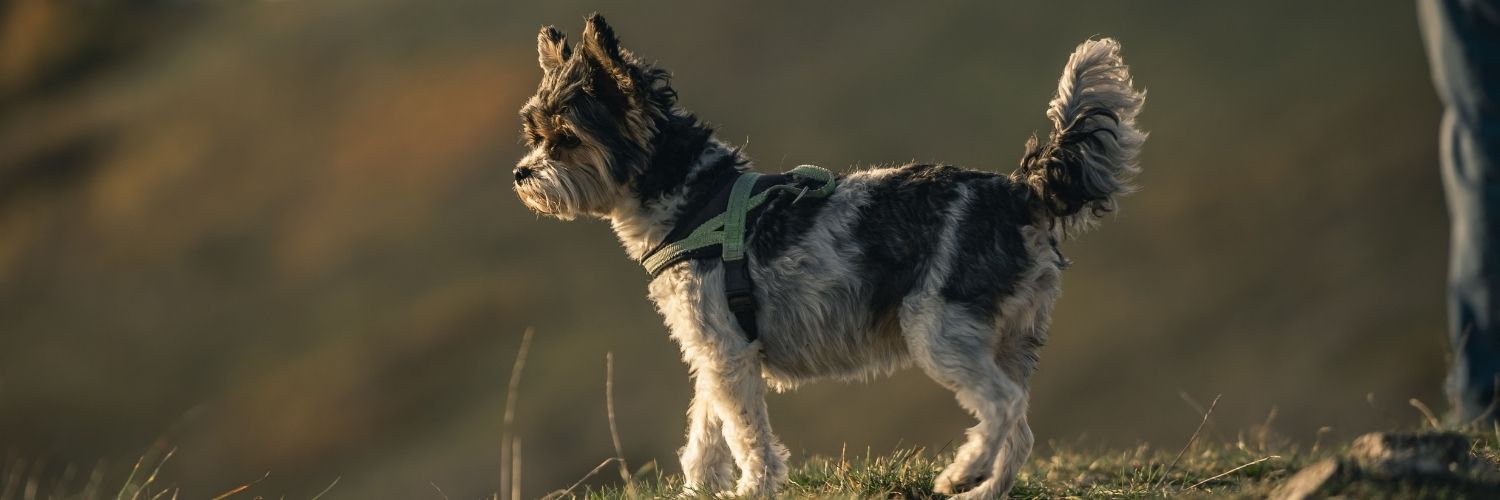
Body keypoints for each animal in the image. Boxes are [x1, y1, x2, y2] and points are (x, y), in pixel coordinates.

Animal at [510, 13, 1140, 495]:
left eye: (566, 139)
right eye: (534, 134)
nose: (520, 174)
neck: (690, 196)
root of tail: (1019, 192)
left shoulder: (728, 351)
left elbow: (745, 434)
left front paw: (754, 488)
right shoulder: (716, 350)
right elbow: (707, 429)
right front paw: (699, 488)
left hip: (940, 330)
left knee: (1002, 406)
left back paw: (960, 474)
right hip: (1010, 337)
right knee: (1023, 428)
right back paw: (984, 490)